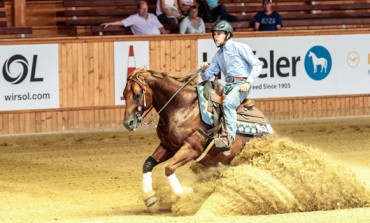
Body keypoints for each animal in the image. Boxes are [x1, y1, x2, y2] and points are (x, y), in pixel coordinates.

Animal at [123, 68, 274, 207]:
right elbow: (148, 164)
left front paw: (185, 194)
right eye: (124, 94)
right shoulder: (168, 146)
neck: (182, 108)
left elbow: (169, 168)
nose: (127, 123)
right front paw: (150, 197)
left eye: (137, 95)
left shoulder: (191, 148)